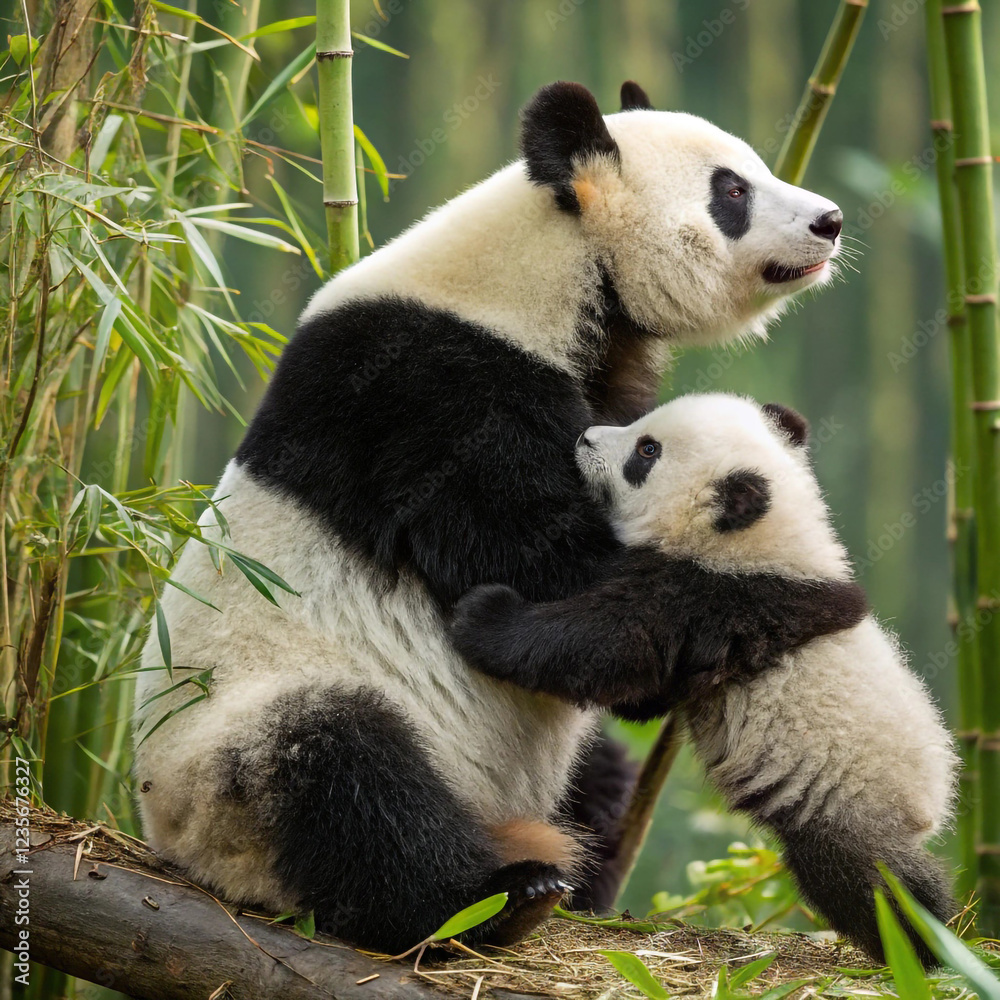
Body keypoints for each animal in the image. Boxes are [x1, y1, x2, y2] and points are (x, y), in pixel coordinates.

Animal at [133, 81, 855, 953]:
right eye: (733, 192)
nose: (829, 220)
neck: (548, 264)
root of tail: (176, 848)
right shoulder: (432, 398)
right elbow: (551, 568)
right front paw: (788, 585)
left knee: (595, 765)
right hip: (230, 760)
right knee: (344, 775)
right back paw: (496, 895)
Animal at [450, 393, 958, 965]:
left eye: (647, 451)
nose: (585, 438)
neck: (762, 540)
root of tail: (933, 803)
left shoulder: (713, 598)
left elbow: (606, 643)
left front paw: (484, 616)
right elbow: (644, 694)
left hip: (848, 798)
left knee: (867, 878)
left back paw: (923, 945)